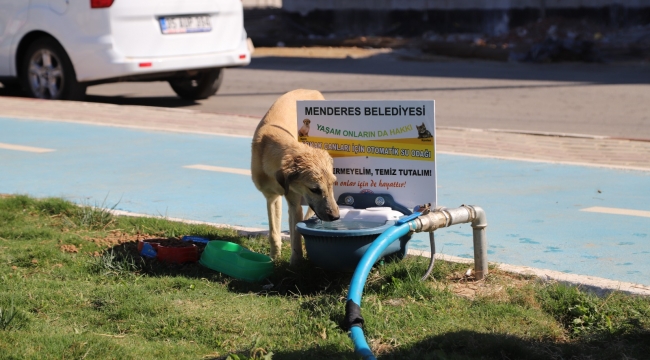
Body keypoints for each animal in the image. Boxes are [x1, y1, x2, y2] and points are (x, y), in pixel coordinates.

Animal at [251, 89, 340, 264]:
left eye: (333, 184)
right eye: (314, 189)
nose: (336, 217)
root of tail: (312, 90)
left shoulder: (294, 202)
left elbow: (296, 236)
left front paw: (296, 264)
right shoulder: (271, 197)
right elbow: (273, 233)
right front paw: (274, 259)